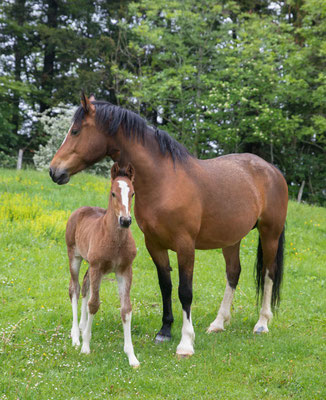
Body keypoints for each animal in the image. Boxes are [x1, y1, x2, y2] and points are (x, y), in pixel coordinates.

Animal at [65, 162, 139, 366]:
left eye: (132, 193)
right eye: (113, 193)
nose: (125, 220)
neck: (115, 239)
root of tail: (80, 210)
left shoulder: (124, 270)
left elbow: (126, 309)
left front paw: (132, 356)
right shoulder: (97, 267)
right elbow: (94, 304)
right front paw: (85, 346)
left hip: (89, 264)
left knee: (84, 286)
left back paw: (82, 327)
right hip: (74, 257)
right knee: (75, 289)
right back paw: (76, 336)